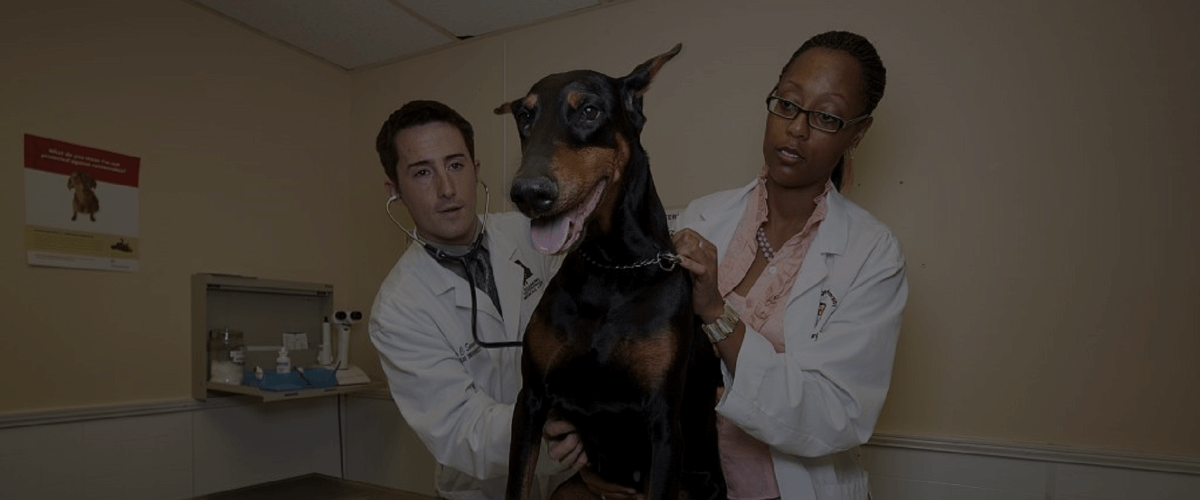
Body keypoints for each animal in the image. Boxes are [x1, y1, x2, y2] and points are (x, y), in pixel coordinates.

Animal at [496, 44, 726, 500]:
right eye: (525, 116)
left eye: (589, 110)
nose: (528, 193)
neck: (613, 268)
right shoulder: (530, 401)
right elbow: (517, 483)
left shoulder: (663, 425)